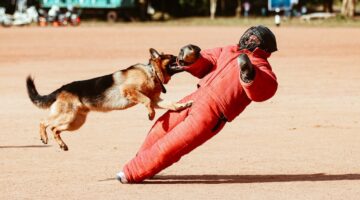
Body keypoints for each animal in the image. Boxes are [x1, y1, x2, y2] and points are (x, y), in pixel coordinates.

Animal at [26, 48, 193, 151]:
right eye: (173, 57)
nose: (182, 58)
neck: (151, 72)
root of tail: (61, 89)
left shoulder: (156, 101)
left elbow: (171, 104)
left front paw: (184, 105)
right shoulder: (130, 90)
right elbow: (145, 101)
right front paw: (151, 115)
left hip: (75, 122)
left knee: (55, 129)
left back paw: (62, 145)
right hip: (67, 116)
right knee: (44, 122)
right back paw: (44, 137)